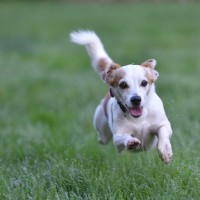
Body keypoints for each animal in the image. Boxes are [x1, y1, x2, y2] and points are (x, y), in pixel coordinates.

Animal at [69, 30, 173, 164]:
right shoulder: (118, 137)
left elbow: (163, 132)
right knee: (102, 139)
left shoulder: (162, 124)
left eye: (144, 83)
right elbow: (123, 137)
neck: (139, 118)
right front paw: (131, 141)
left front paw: (165, 151)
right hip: (102, 129)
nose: (136, 99)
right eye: (123, 84)